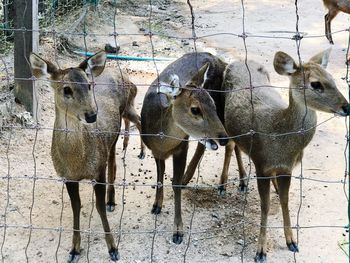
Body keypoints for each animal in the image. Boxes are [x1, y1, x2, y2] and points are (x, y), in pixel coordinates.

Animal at [29, 50, 144, 262]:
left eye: (88, 85)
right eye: (66, 89)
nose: (91, 115)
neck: (76, 163)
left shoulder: (97, 170)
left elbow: (98, 207)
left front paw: (113, 248)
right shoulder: (67, 177)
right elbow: (76, 208)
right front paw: (74, 250)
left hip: (114, 131)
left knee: (113, 162)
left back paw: (111, 200)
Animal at [141, 52, 228, 244]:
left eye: (212, 104)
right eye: (195, 109)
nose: (223, 138)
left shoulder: (182, 145)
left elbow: (175, 184)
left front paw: (178, 231)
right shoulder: (155, 151)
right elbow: (159, 176)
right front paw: (156, 206)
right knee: (205, 146)